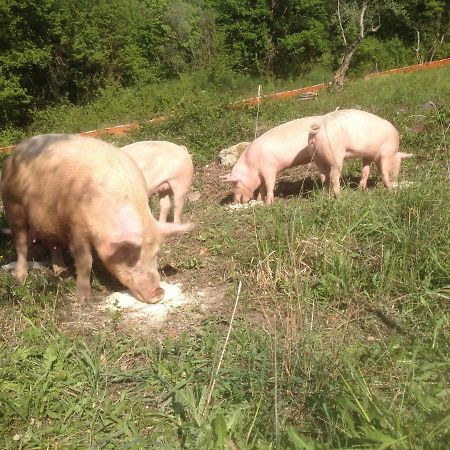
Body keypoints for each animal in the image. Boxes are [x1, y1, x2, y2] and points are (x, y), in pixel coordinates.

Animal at [0, 134, 192, 302]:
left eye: (155, 254)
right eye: (130, 259)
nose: (158, 293)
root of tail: (17, 149)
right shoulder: (75, 226)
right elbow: (85, 261)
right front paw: (84, 300)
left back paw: (60, 271)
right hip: (12, 203)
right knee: (21, 243)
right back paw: (21, 278)